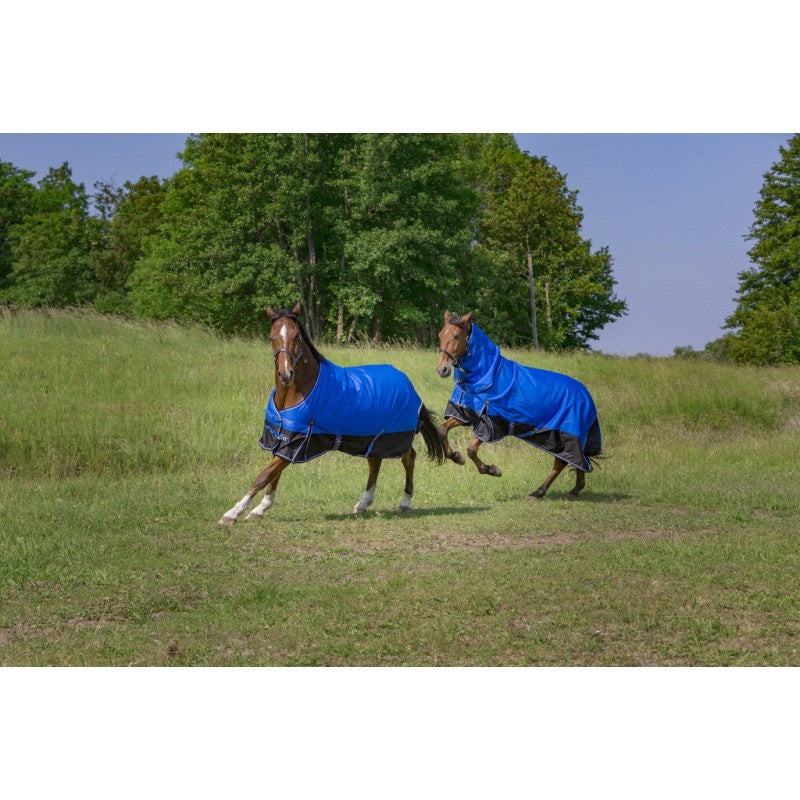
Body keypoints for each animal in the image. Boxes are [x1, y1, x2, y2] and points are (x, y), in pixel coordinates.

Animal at [218, 303, 445, 525]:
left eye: (296, 336)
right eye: (272, 337)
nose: (286, 374)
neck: (300, 392)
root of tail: (409, 385)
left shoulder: (298, 441)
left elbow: (264, 475)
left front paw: (232, 513)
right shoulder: (282, 438)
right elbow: (274, 476)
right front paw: (260, 509)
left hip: (396, 436)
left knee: (409, 458)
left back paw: (405, 503)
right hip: (373, 438)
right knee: (375, 463)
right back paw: (362, 504)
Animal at [435, 310, 602, 500]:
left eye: (456, 336)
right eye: (440, 335)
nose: (442, 369)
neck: (487, 377)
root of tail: (586, 394)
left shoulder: (490, 424)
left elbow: (471, 449)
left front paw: (492, 470)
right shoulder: (465, 414)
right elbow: (442, 430)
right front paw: (456, 457)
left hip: (567, 435)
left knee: (568, 461)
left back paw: (546, 492)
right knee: (571, 460)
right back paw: (567, 490)